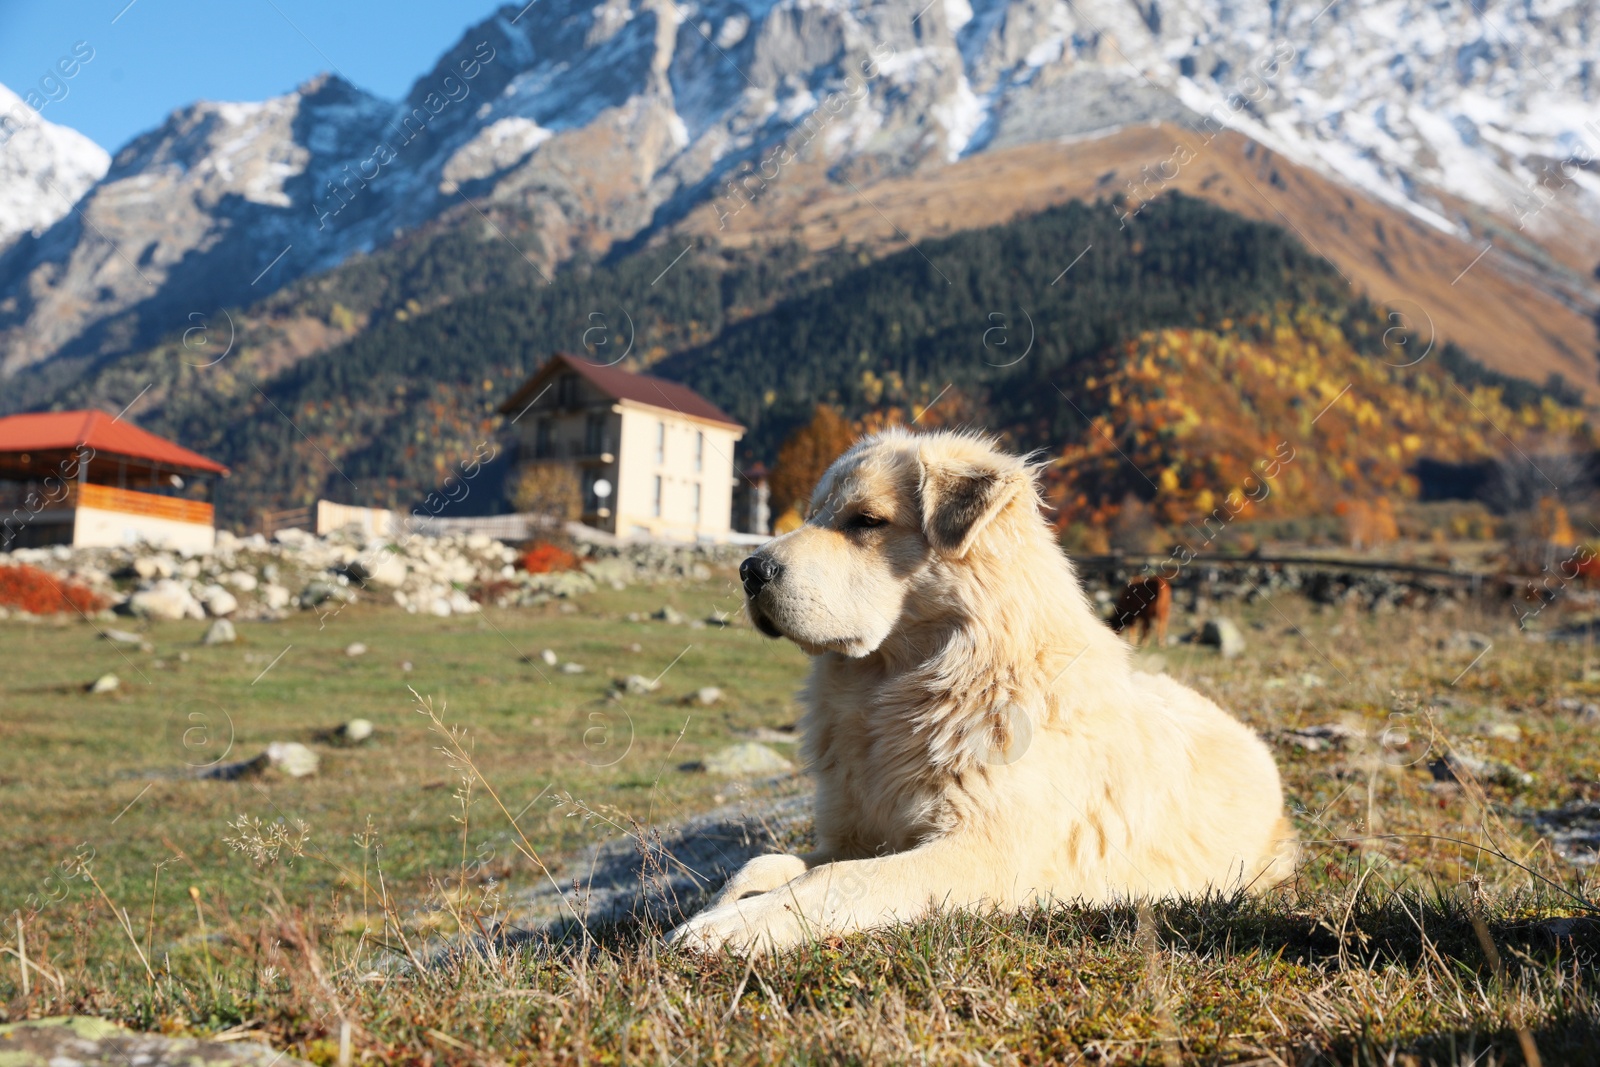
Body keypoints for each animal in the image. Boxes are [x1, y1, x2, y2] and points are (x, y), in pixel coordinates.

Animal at [668, 428, 1292, 953]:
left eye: (866, 521)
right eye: (815, 513)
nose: (750, 570)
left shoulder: (980, 855)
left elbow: (831, 880)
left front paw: (731, 929)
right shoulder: (856, 831)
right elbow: (765, 863)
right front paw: (714, 910)